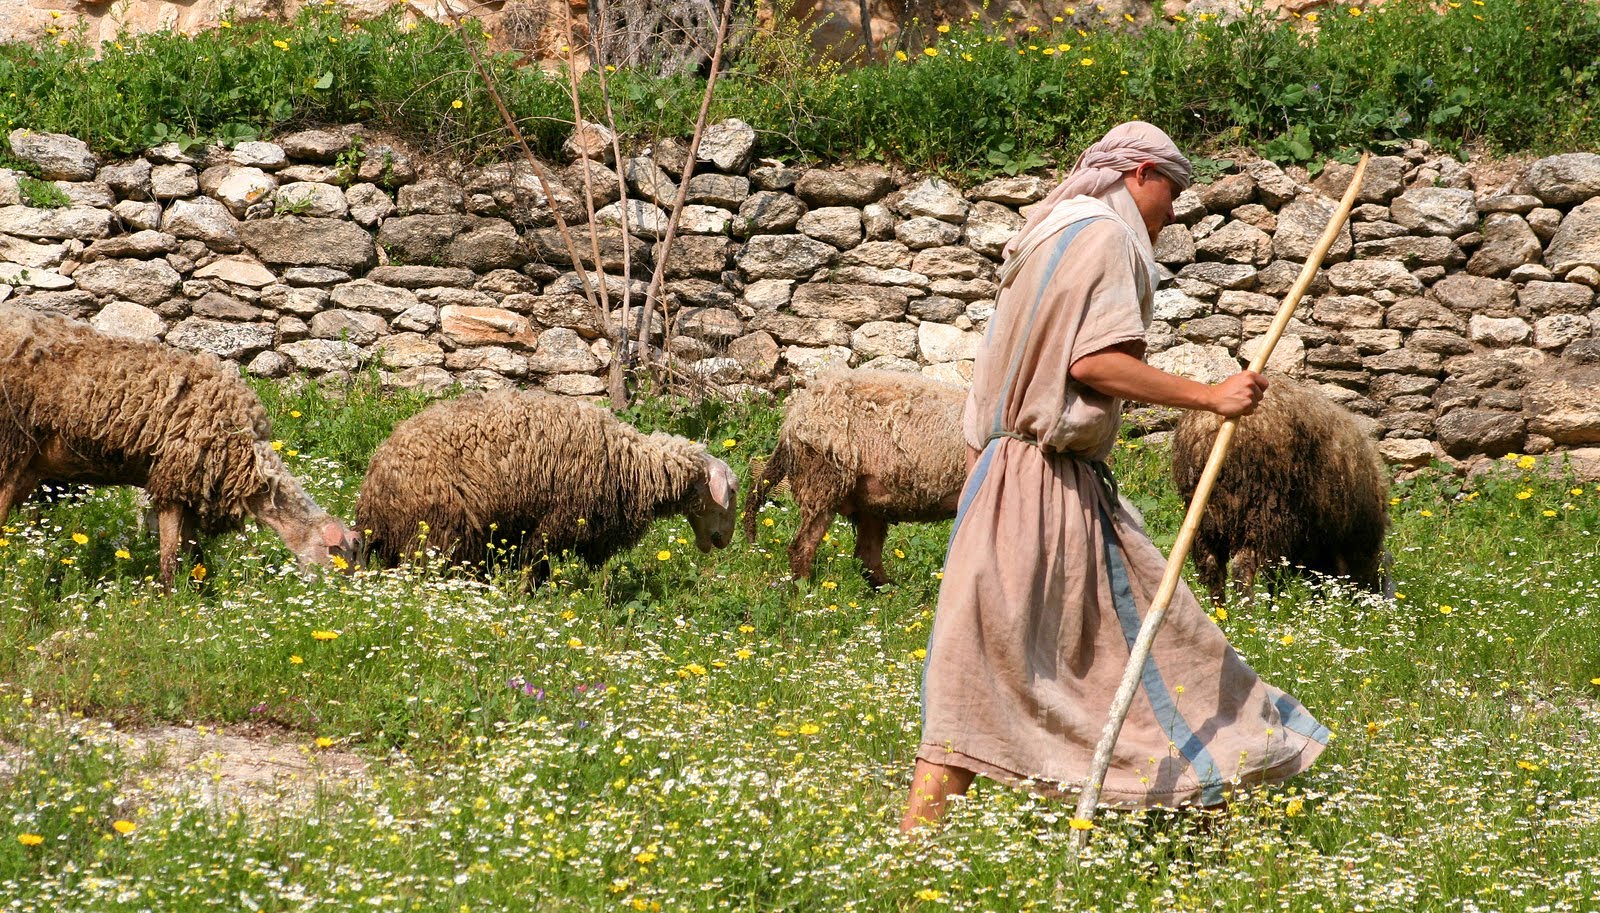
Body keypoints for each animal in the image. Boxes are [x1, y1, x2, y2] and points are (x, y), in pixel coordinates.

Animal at [0, 303, 356, 588]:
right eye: (341, 559)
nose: (342, 601)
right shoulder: (174, 479)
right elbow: (171, 557)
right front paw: (171, 605)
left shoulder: (191, 493)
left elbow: (193, 555)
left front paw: (198, 594)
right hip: (9, 444)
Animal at [356, 391, 736, 578]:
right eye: (730, 491)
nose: (723, 542)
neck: (634, 463)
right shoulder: (554, 522)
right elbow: (535, 566)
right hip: (438, 530)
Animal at [742, 369, 966, 588]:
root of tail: (793, 418)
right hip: (823, 480)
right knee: (802, 546)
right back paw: (807, 591)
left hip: (871, 500)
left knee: (866, 556)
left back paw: (890, 591)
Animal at [1171, 370, 1395, 601]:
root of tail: (1206, 431)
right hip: (1264, 510)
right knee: (1244, 567)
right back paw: (1250, 609)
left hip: (1205, 515)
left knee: (1212, 567)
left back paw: (1221, 609)